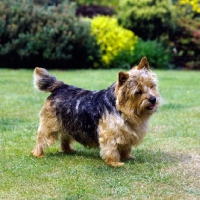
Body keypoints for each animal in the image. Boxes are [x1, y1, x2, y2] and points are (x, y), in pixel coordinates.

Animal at [31, 57, 162, 166]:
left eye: (151, 86)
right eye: (138, 92)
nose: (153, 99)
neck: (122, 109)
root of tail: (61, 86)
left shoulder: (126, 133)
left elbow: (126, 147)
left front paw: (127, 156)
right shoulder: (109, 134)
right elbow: (111, 149)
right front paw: (115, 163)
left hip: (68, 124)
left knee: (65, 138)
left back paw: (68, 150)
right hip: (49, 126)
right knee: (41, 139)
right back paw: (38, 154)